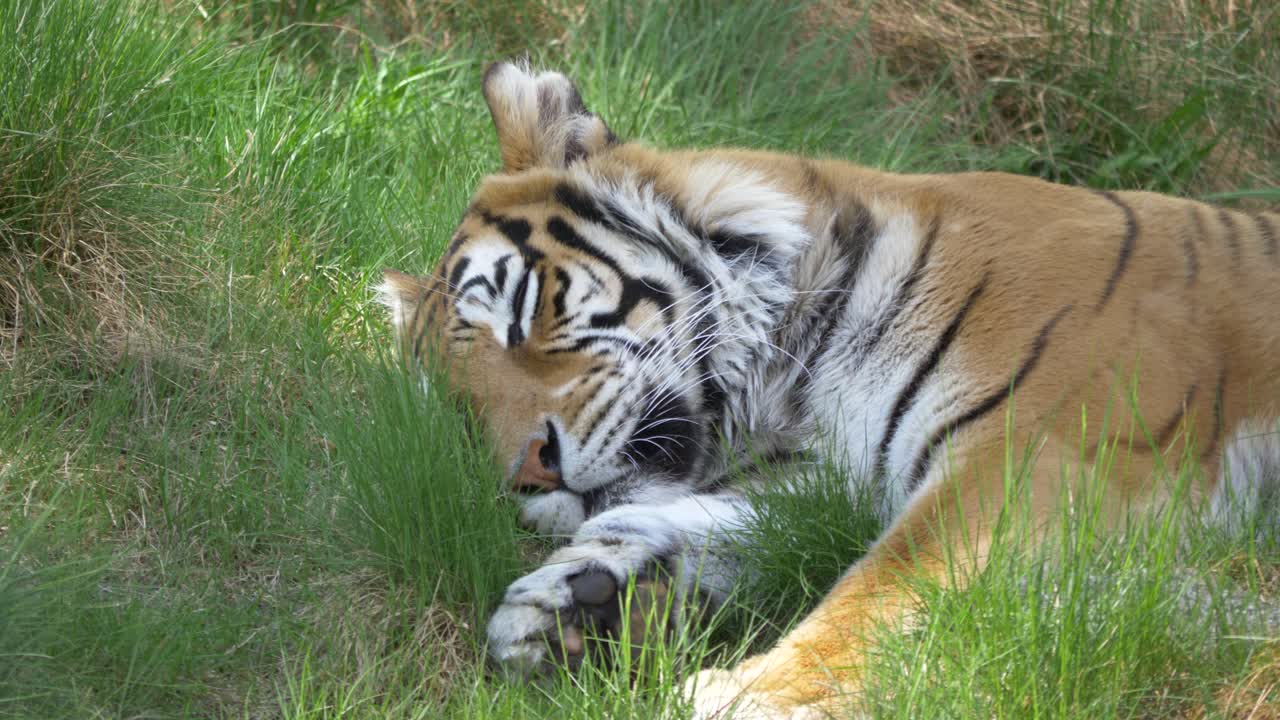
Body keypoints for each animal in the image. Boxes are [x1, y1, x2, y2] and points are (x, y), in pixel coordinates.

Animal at [378, 60, 1280, 719]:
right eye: (461, 413)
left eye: (525, 315)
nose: (528, 471)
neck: (797, 385)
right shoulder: (836, 483)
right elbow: (708, 522)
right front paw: (571, 606)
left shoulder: (1038, 456)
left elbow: (885, 586)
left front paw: (747, 695)